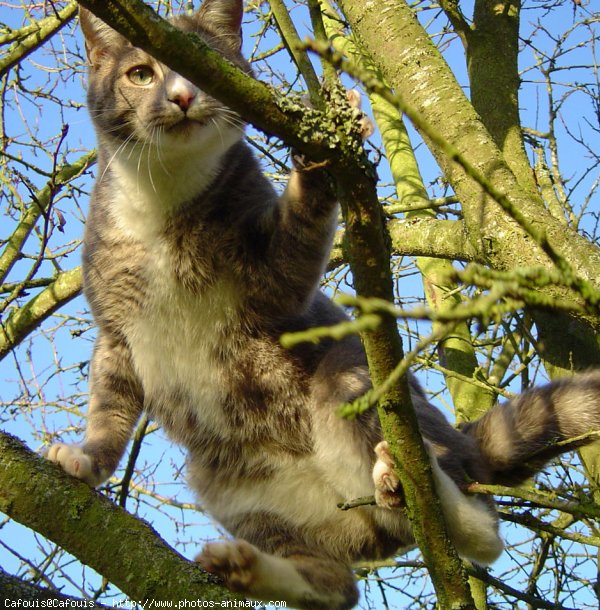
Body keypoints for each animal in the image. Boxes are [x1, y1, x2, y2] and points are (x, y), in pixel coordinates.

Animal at [49, 1, 600, 608]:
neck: (164, 193)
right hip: (222, 479)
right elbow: (109, 407)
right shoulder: (115, 331)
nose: (183, 95)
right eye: (140, 73)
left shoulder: (274, 284)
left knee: (485, 528)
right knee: (339, 586)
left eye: (203, 64)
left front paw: (324, 146)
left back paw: (424, 482)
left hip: (352, 377)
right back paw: (251, 566)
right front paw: (83, 458)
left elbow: (298, 240)